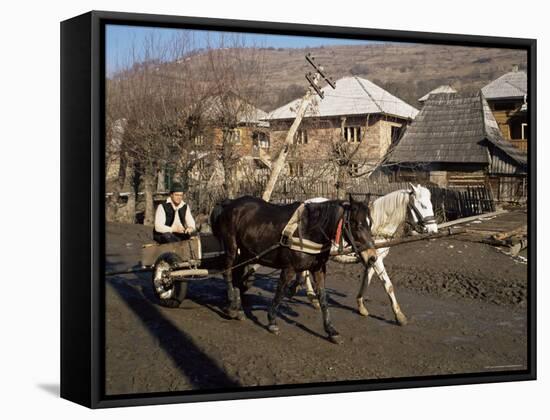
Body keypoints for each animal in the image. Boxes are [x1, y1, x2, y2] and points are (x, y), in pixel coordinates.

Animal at [211, 195, 380, 342]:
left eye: (370, 223)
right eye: (356, 224)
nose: (373, 257)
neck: (308, 229)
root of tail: (229, 203)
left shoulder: (318, 269)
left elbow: (323, 298)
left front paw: (331, 330)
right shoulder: (289, 269)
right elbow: (280, 293)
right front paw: (272, 321)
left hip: (246, 253)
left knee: (237, 276)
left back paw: (237, 309)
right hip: (232, 249)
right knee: (228, 273)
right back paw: (231, 304)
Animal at [300, 183, 438, 324]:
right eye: (423, 205)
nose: (434, 230)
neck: (377, 226)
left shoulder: (373, 258)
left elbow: (366, 280)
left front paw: (361, 305)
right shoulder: (377, 260)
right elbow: (388, 285)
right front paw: (399, 316)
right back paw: (313, 298)